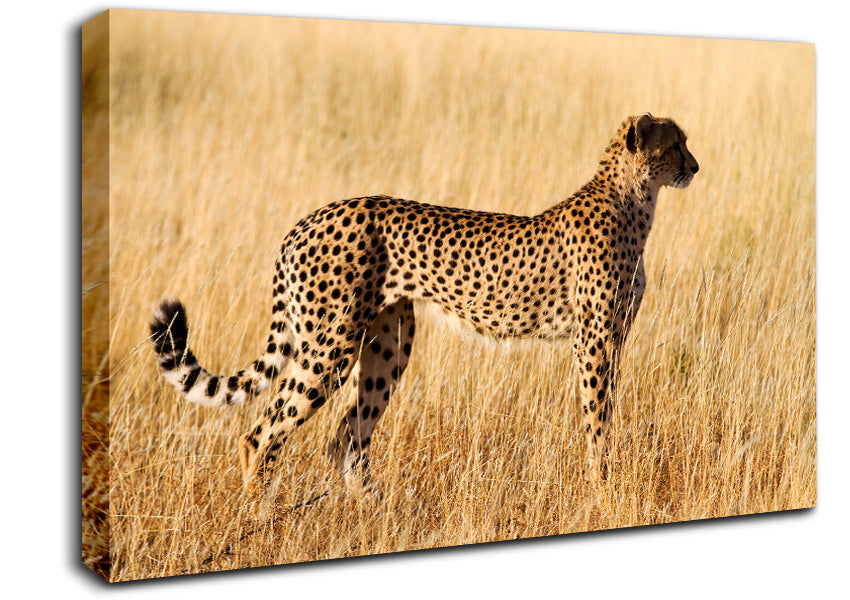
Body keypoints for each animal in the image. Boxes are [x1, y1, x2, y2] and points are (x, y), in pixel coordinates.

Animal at [150, 113, 699, 497]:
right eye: (676, 144)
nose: (695, 167)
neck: (633, 199)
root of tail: (310, 217)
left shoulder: (612, 338)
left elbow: (606, 410)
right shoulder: (594, 341)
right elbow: (597, 417)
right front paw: (604, 487)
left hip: (387, 343)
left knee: (346, 436)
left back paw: (376, 509)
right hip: (330, 344)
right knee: (262, 433)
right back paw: (260, 515)